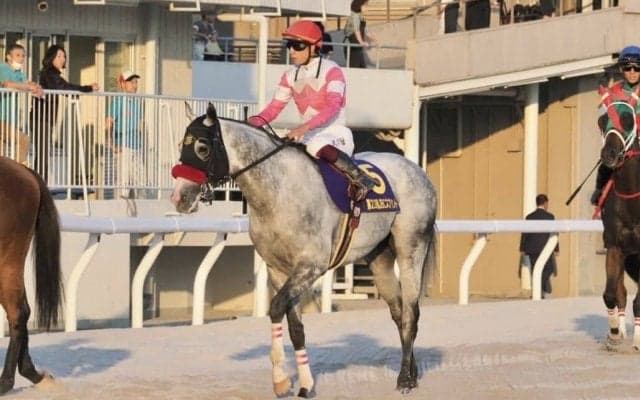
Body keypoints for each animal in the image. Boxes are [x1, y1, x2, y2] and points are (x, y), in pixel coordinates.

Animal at [0, 157, 62, 394]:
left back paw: (5, 382)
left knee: (18, 313)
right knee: (23, 310)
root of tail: (23, 171)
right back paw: (33, 374)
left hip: (7, 260)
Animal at [170, 105, 437, 396]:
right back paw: (411, 373)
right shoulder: (278, 270)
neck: (280, 191)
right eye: (181, 145)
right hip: (379, 259)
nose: (179, 198)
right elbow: (296, 328)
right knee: (399, 312)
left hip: (411, 247)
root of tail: (418, 171)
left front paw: (280, 380)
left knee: (411, 312)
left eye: (202, 147)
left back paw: (404, 380)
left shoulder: (310, 266)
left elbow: (276, 308)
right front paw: (304, 384)